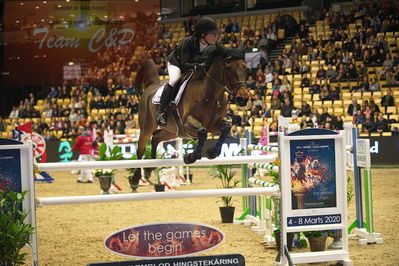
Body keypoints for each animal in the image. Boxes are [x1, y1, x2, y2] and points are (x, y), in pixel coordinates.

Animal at [131, 46, 250, 191]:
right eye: (228, 68)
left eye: (246, 68)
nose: (243, 98)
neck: (210, 94)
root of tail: (152, 86)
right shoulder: (187, 122)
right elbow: (202, 132)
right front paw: (191, 157)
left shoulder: (214, 124)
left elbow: (226, 127)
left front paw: (212, 152)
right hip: (147, 127)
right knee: (141, 148)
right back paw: (135, 178)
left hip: (173, 131)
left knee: (156, 137)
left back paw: (150, 167)